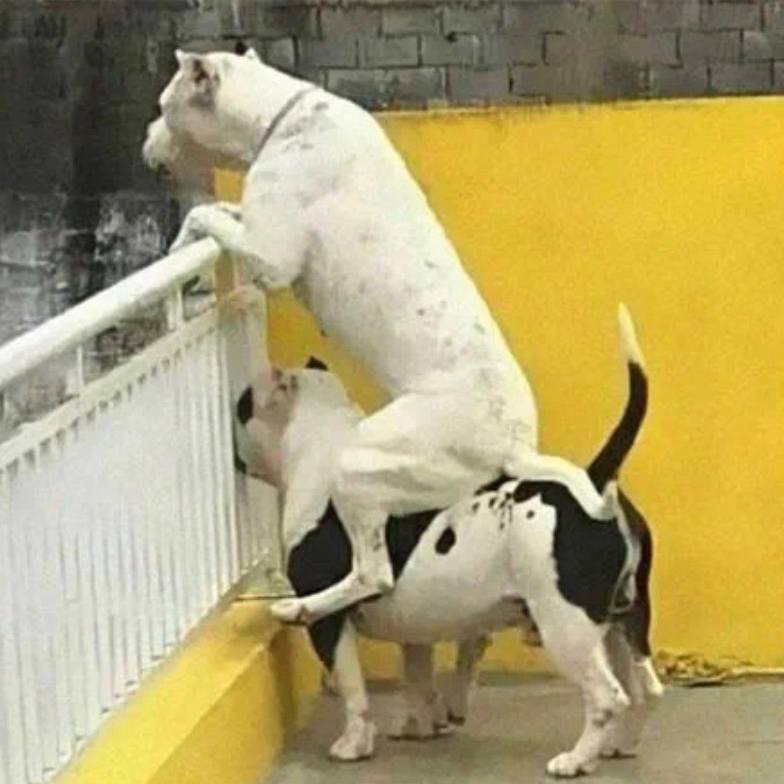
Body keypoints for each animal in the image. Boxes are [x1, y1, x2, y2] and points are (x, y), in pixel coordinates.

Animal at [142, 47, 560, 623]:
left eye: (164, 105)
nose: (145, 139)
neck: (280, 118)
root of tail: (515, 443)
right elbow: (218, 213)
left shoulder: (271, 258)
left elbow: (206, 212)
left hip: (360, 463)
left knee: (374, 573)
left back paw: (301, 607)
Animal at [233, 304, 663, 777]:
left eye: (240, 406)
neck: (319, 439)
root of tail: (596, 479)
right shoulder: (415, 626)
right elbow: (418, 675)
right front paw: (420, 724)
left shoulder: (330, 626)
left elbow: (352, 688)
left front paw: (353, 743)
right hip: (625, 620)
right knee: (644, 688)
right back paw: (619, 745)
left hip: (566, 625)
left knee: (607, 696)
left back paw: (576, 759)